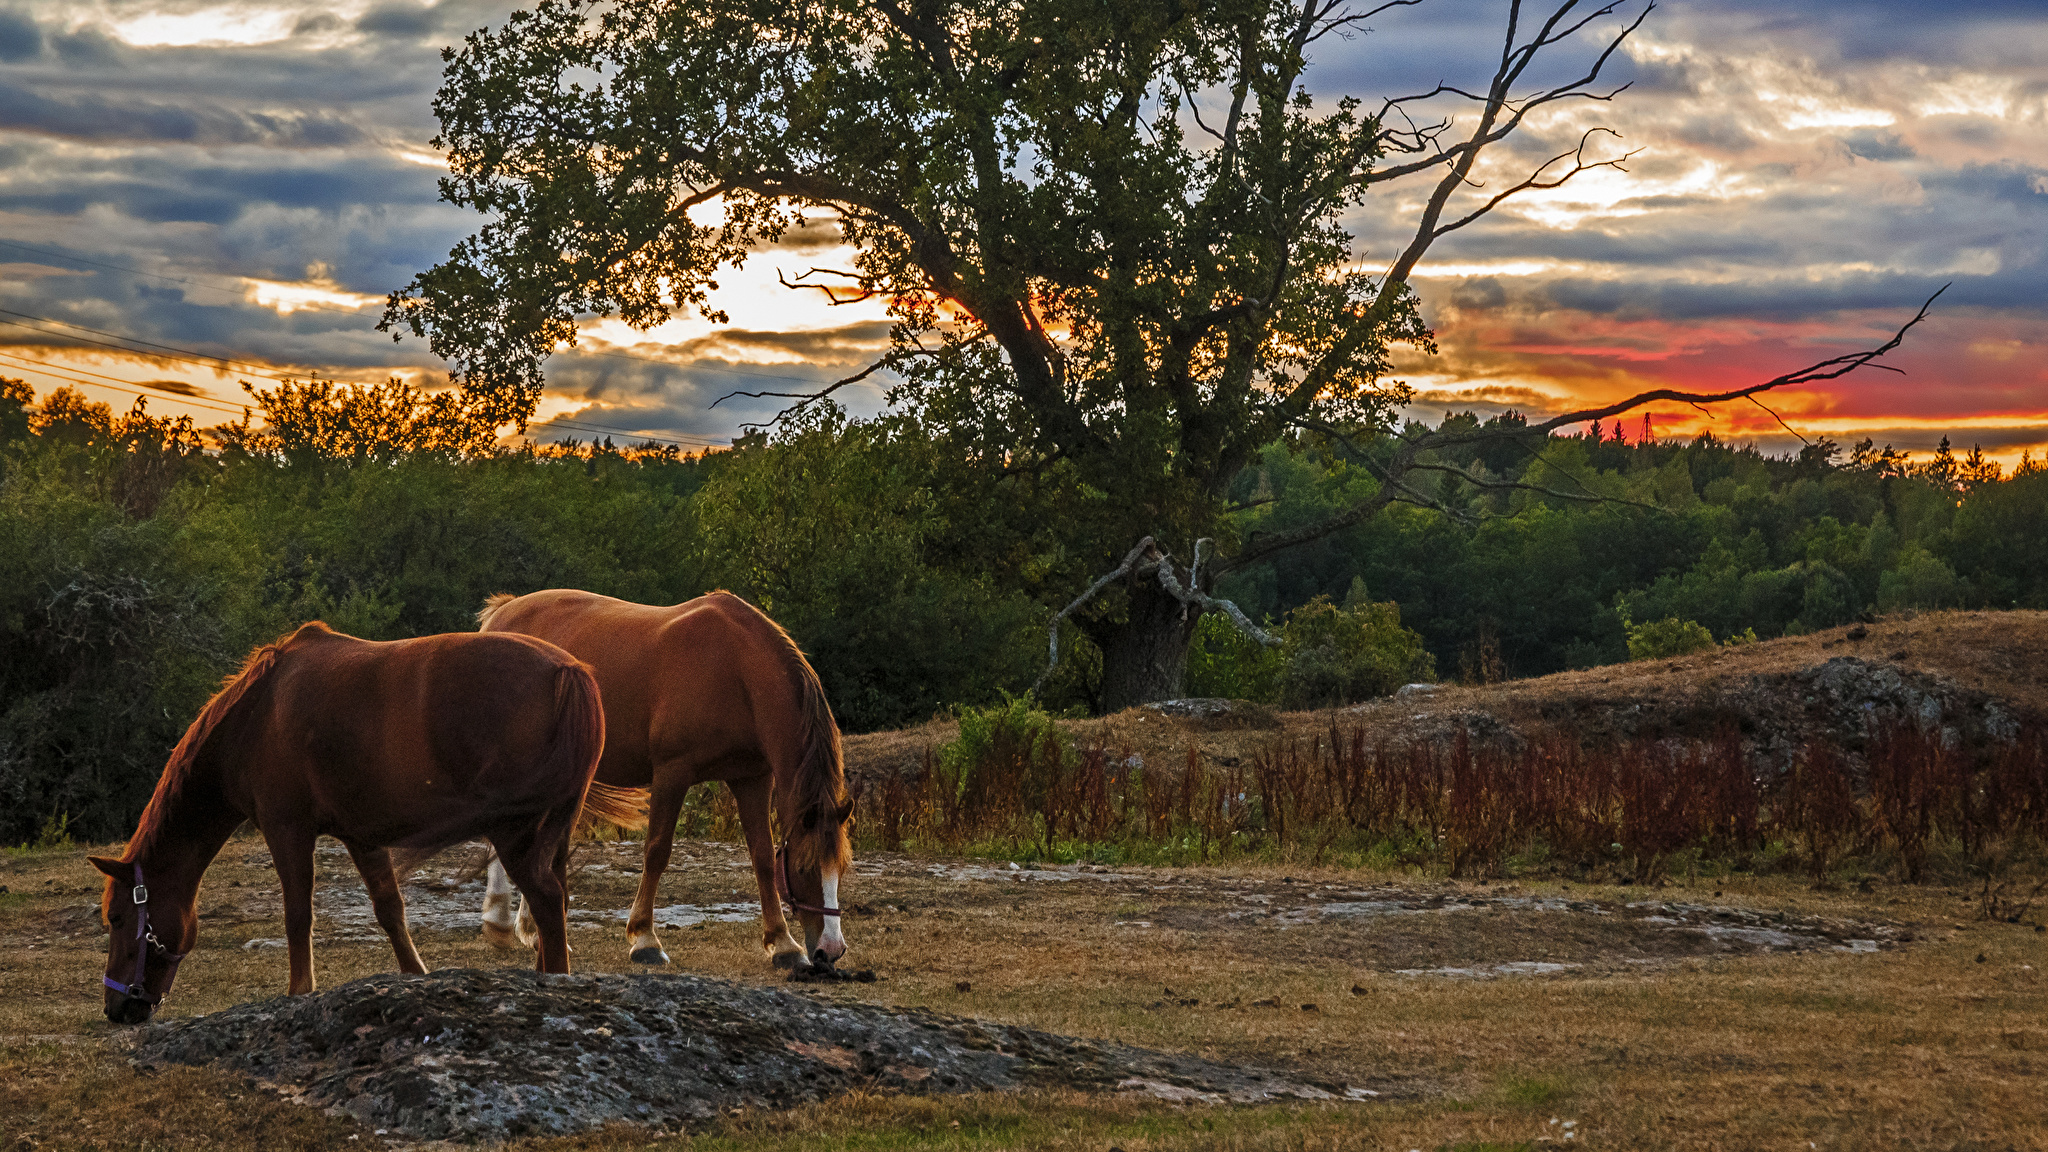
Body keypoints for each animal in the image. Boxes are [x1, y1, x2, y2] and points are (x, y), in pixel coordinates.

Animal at [90, 619, 638, 1020]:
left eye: (117, 917)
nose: (117, 1009)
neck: (258, 714)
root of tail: (568, 670)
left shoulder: (288, 831)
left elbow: (298, 916)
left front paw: (300, 991)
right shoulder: (363, 837)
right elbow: (390, 912)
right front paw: (416, 977)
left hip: (516, 834)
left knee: (546, 899)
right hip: (551, 832)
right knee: (554, 899)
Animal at [475, 586, 851, 963]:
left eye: (841, 869)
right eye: (803, 868)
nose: (830, 950)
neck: (736, 670)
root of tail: (502, 611)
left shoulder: (752, 779)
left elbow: (762, 857)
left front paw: (783, 944)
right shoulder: (673, 772)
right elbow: (657, 851)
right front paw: (645, 938)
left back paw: (532, 931)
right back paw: (499, 922)